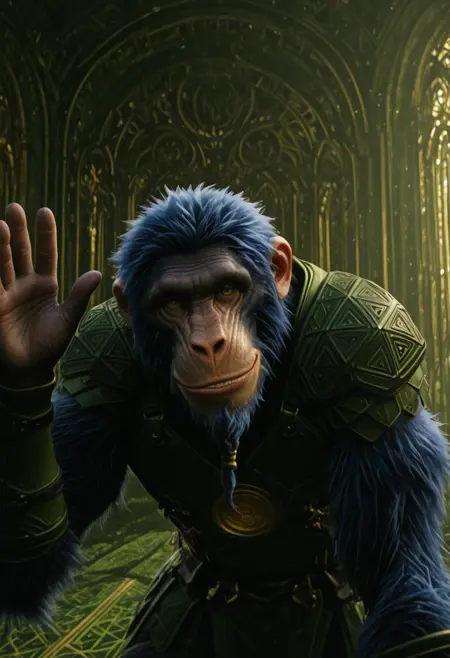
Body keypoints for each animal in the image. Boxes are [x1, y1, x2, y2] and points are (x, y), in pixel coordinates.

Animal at [0, 185, 450, 658]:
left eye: (228, 290)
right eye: (173, 302)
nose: (209, 343)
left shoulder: (369, 351)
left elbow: (398, 574)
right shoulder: (98, 364)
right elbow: (35, 562)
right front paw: (28, 335)